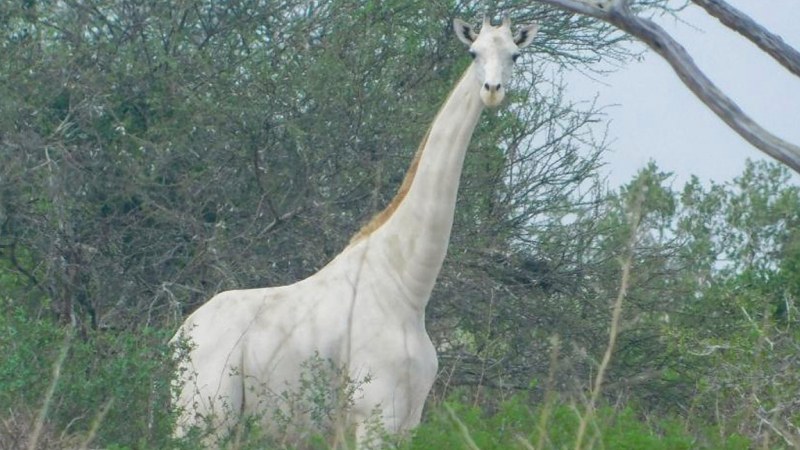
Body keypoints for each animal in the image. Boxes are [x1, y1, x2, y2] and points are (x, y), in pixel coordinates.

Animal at [172, 15, 540, 444]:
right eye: (473, 52)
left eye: (514, 55)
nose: (492, 92)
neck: (407, 288)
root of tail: (177, 338)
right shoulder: (376, 416)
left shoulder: (407, 422)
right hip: (204, 417)